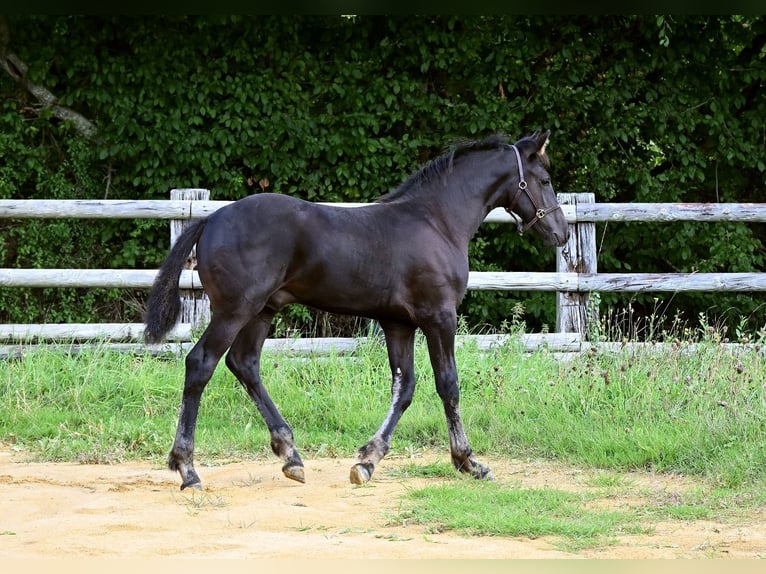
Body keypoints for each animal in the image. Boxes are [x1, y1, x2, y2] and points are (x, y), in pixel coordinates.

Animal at [144, 130, 569, 490]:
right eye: (546, 180)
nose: (561, 233)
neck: (436, 221)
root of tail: (210, 218)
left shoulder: (399, 324)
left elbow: (404, 388)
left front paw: (367, 460)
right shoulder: (439, 317)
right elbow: (448, 385)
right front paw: (469, 462)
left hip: (262, 311)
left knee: (244, 364)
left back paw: (290, 456)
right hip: (235, 310)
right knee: (201, 363)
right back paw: (187, 469)